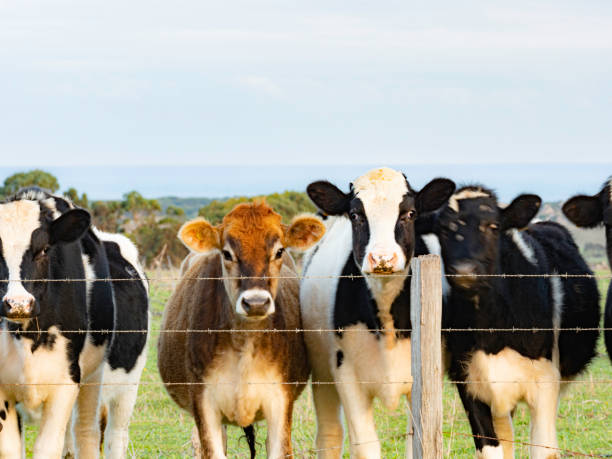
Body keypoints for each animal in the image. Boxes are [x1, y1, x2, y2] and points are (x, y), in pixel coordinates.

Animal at [0, 188, 116, 459]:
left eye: (44, 249)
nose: (18, 304)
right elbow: (9, 450)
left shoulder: (66, 382)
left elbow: (47, 447)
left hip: (93, 376)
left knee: (85, 432)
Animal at [158, 203, 328, 458]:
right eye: (227, 253)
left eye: (279, 251)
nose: (256, 302)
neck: (244, 344)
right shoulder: (203, 404)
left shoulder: (280, 402)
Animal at [302, 167, 454, 458]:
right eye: (355, 215)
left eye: (410, 213)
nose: (382, 258)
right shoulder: (346, 374)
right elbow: (365, 446)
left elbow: (414, 441)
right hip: (321, 369)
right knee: (329, 434)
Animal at [424, 186, 600, 459]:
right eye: (443, 229)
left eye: (493, 226)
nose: (464, 270)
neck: (492, 332)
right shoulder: (469, 382)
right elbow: (492, 449)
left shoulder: (546, 382)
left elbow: (544, 450)